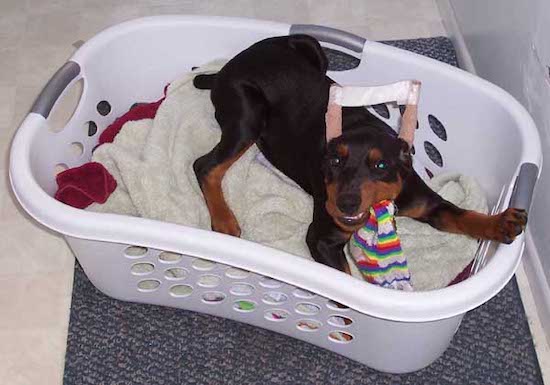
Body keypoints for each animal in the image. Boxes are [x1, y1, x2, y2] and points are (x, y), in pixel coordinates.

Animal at [192, 34, 528, 272]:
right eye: (334, 160)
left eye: (381, 165)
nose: (345, 204)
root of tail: (224, 69)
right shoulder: (322, 238)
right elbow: (344, 276)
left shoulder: (428, 204)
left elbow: (462, 215)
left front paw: (502, 223)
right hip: (249, 115)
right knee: (204, 165)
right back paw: (224, 221)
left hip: (313, 49)